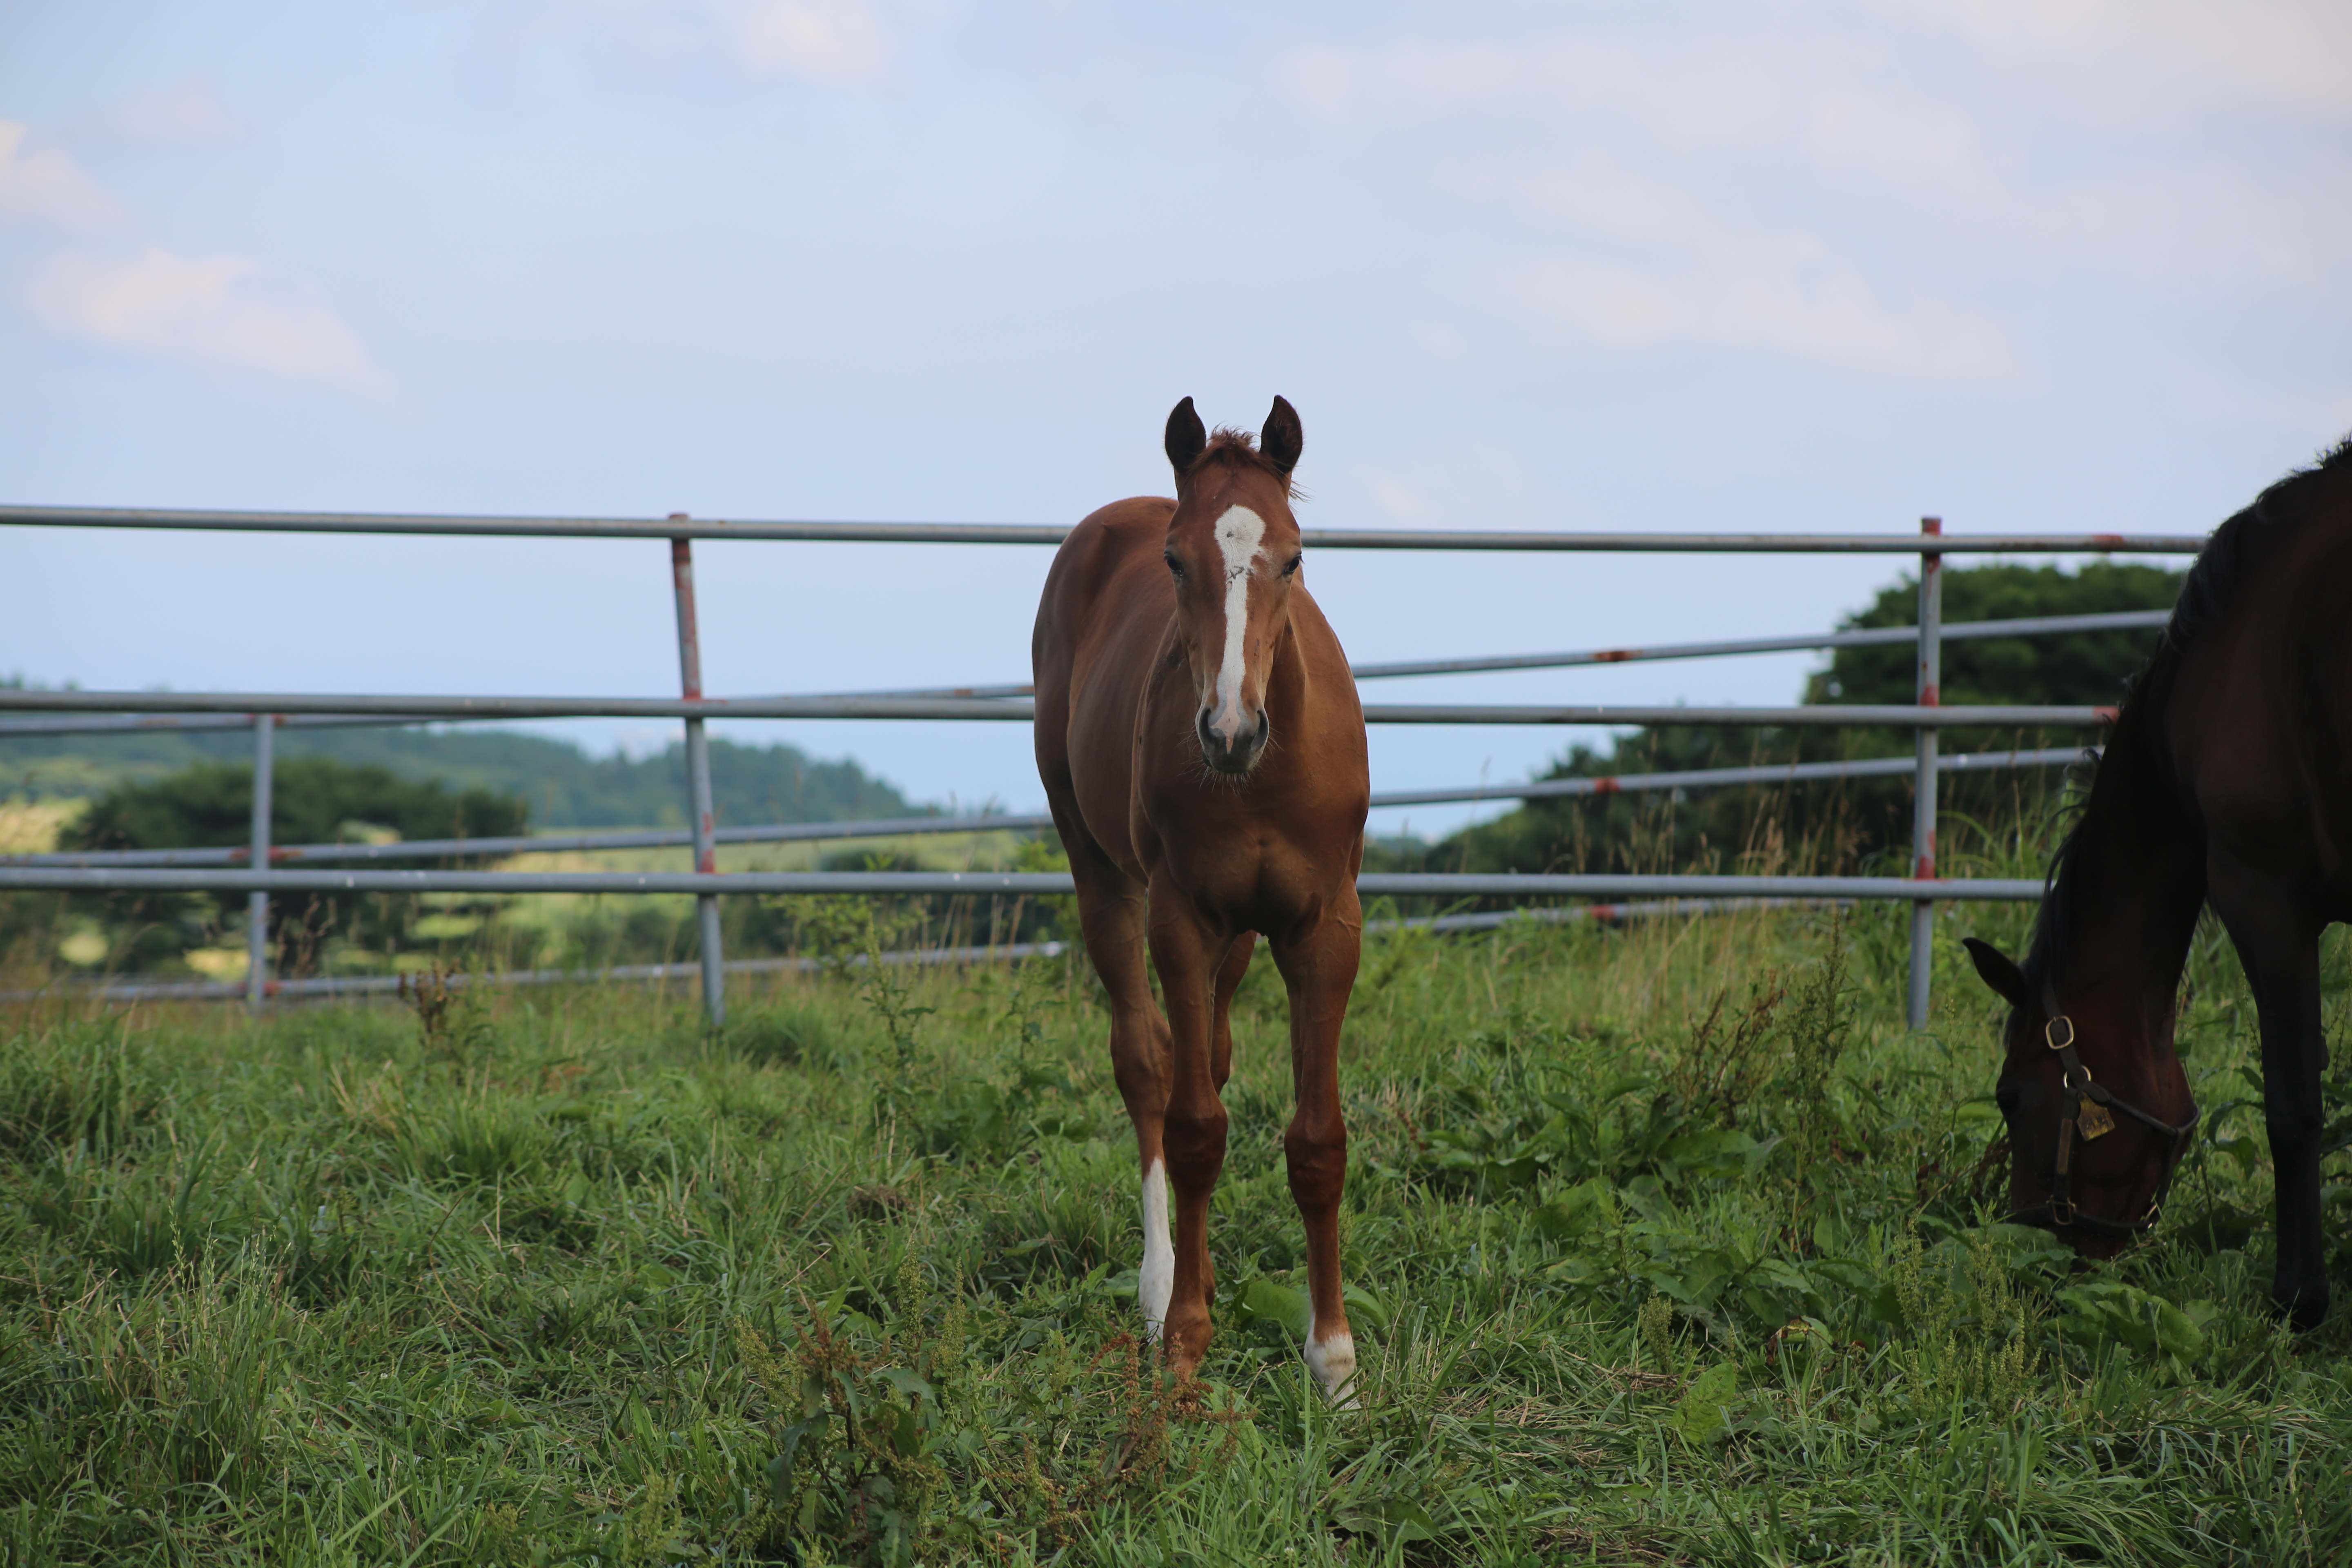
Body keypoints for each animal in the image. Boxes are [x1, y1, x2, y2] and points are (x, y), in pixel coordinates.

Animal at [1035, 395, 1373, 1401]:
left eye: (1294, 556)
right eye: (1176, 561)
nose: (1229, 731)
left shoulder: (1324, 928)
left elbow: (1317, 1142)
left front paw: (1335, 1365)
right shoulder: (1180, 920)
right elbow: (1191, 1128)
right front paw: (1185, 1343)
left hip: (1242, 936)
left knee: (1210, 1056)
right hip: (1102, 875)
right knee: (1148, 1062)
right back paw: (1161, 1286)